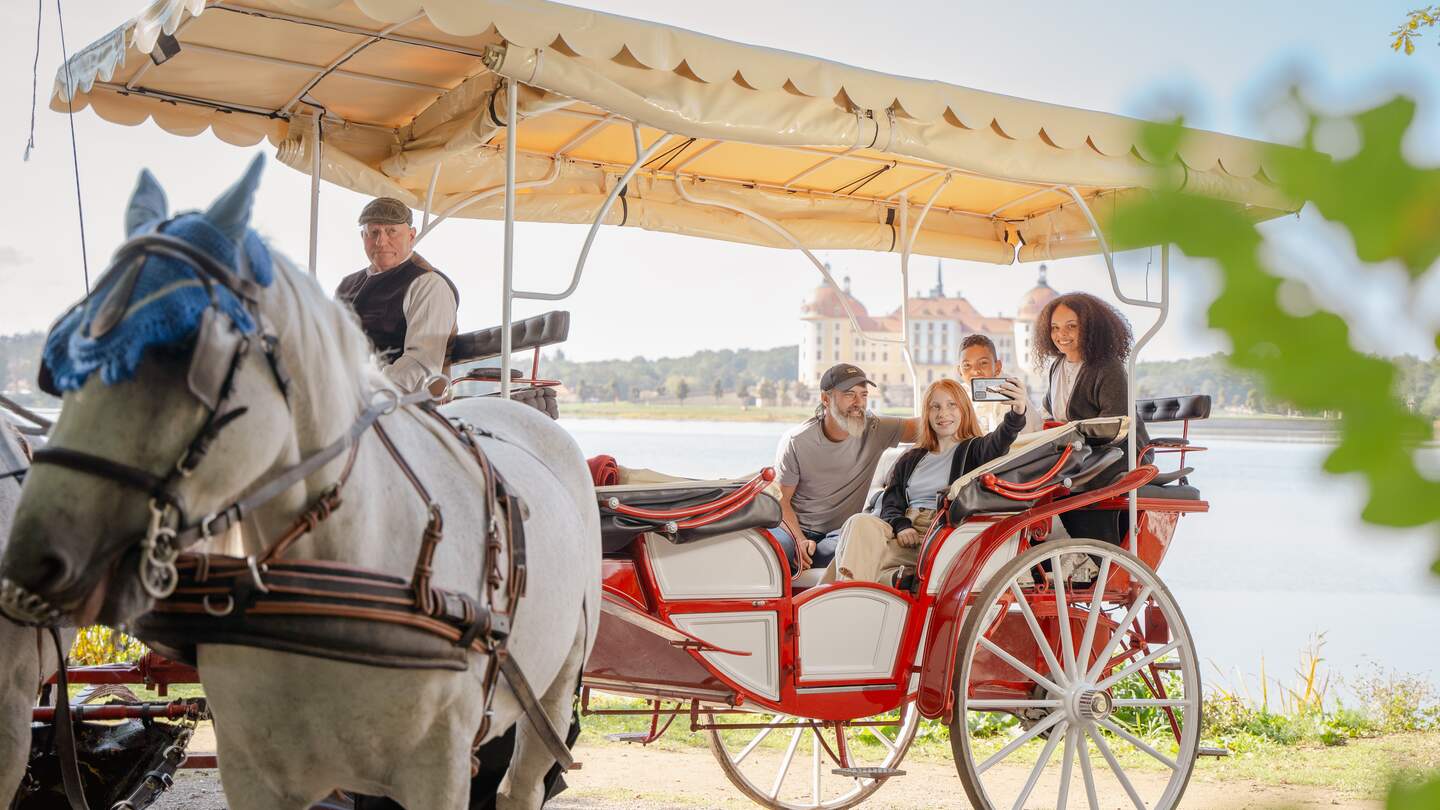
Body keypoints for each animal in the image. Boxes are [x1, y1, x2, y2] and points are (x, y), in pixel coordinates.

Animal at [0, 159, 599, 807]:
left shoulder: (437, 772)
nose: (32, 560)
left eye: (186, 347)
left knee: (523, 780)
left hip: (553, 686)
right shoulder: (255, 769)